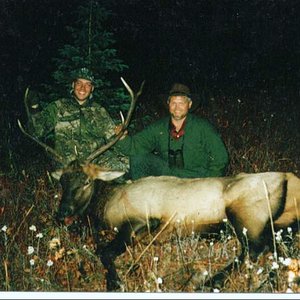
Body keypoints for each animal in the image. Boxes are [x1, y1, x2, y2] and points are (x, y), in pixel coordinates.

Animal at [17, 79, 298, 290]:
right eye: (63, 181)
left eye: (86, 181)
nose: (62, 212)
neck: (106, 206)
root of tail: (289, 178)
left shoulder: (140, 219)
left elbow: (104, 252)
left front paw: (114, 282)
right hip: (278, 224)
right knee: (274, 249)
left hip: (245, 213)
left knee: (254, 249)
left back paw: (210, 281)